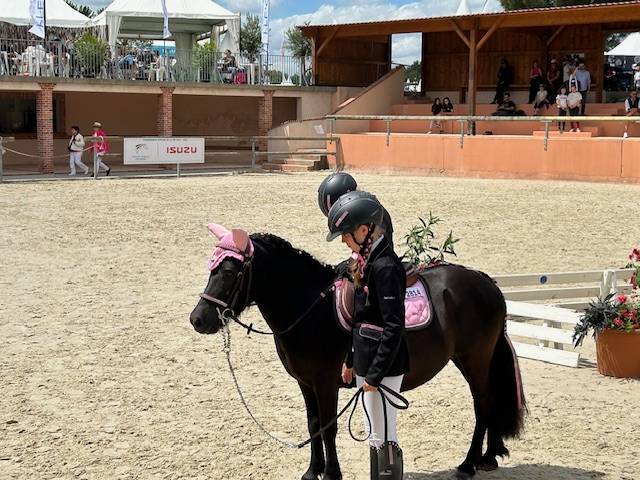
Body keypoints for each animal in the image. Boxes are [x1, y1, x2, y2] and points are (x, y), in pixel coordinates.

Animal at [189, 224, 526, 480]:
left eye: (229, 271)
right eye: (211, 267)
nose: (198, 319)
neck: (310, 308)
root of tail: (486, 282)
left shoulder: (325, 383)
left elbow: (329, 429)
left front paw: (331, 475)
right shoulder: (305, 384)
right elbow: (313, 425)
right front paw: (312, 472)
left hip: (474, 360)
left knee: (483, 403)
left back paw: (469, 464)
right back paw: (489, 457)